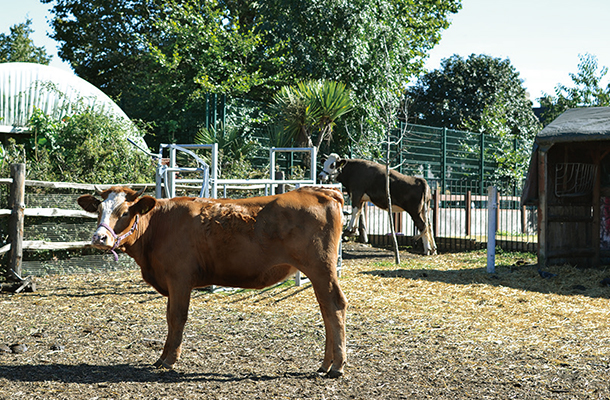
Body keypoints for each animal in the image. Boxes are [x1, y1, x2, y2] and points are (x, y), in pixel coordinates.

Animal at [77, 186, 346, 376]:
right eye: (99, 211)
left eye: (124, 212)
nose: (99, 238)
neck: (159, 225)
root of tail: (322, 191)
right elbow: (169, 319)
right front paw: (162, 357)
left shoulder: (179, 279)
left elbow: (177, 317)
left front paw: (170, 360)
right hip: (318, 273)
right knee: (326, 310)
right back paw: (325, 364)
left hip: (321, 269)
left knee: (335, 307)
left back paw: (337, 366)